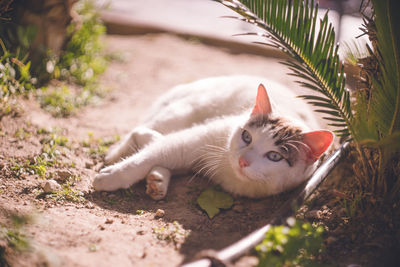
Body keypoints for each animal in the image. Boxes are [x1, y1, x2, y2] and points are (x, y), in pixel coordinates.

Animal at [92, 75, 332, 199]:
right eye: (247, 137)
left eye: (275, 157)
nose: (242, 161)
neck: (229, 172)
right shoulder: (191, 141)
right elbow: (144, 158)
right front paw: (112, 176)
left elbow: (157, 152)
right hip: (179, 113)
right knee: (143, 131)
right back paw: (119, 153)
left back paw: (158, 180)